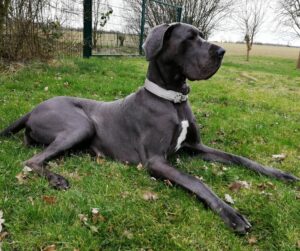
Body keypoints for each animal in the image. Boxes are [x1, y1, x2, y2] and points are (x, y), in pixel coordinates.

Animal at [1, 23, 298, 233]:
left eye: (201, 35)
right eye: (190, 38)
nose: (222, 51)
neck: (173, 99)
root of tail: (33, 108)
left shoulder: (196, 146)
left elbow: (239, 158)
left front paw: (280, 174)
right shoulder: (156, 161)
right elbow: (196, 181)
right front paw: (231, 213)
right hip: (81, 125)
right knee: (31, 160)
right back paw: (56, 178)